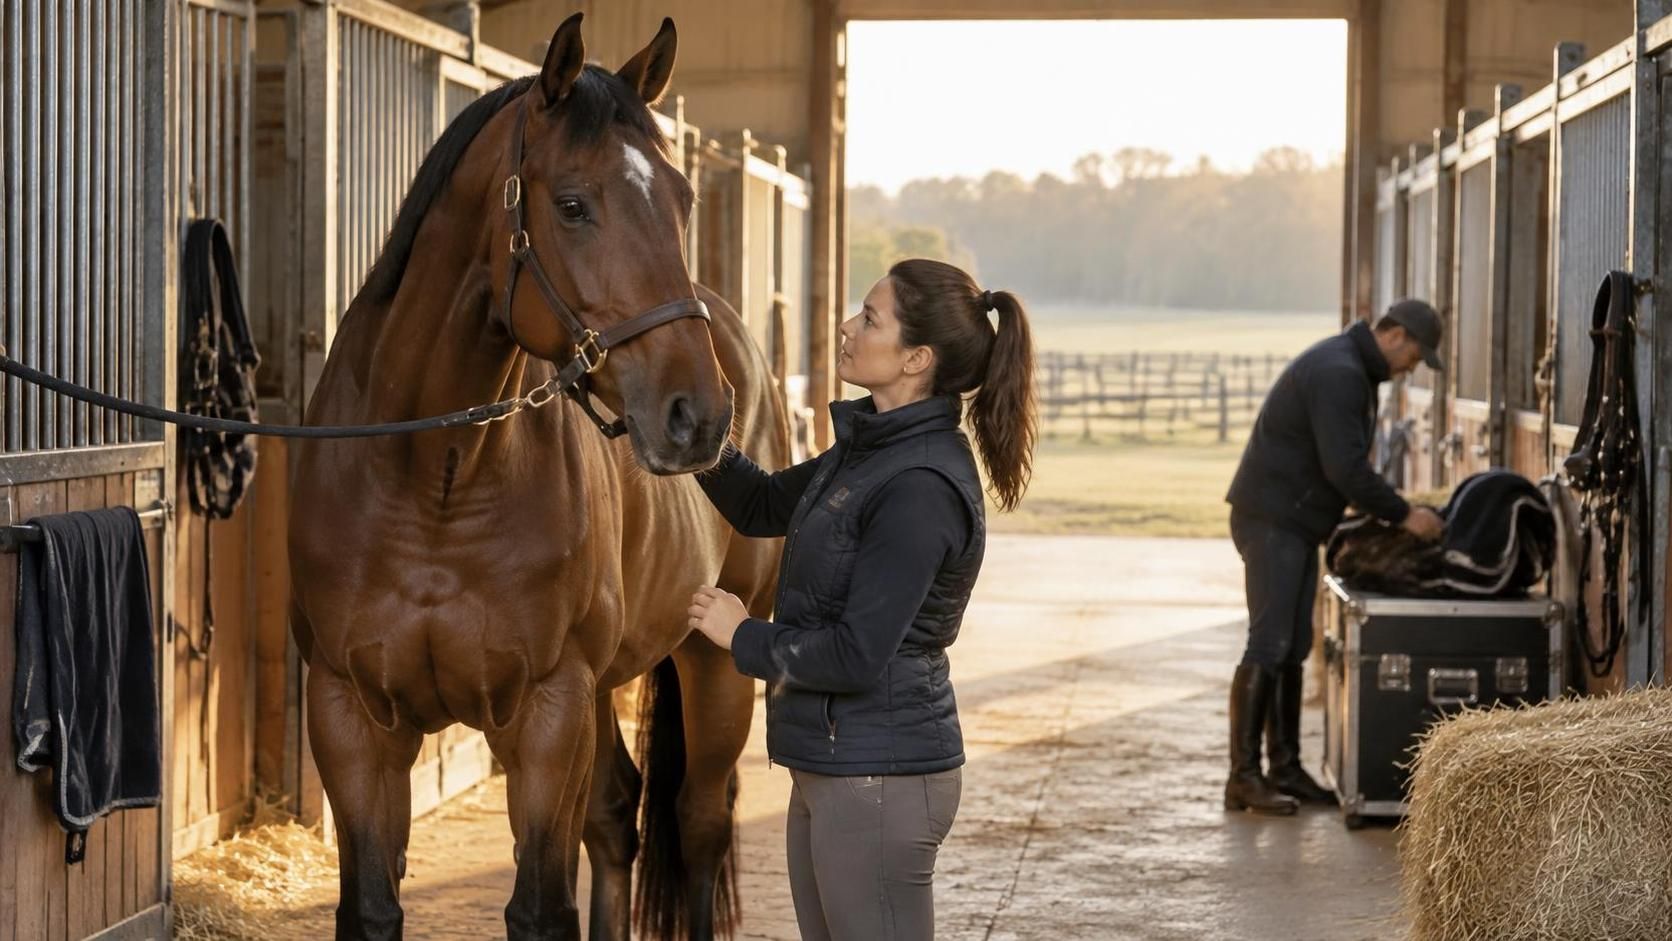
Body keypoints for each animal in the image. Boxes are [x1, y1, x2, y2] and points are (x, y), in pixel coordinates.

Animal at [287, 15, 787, 940]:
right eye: (573, 204)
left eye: (683, 199)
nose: (697, 414)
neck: (435, 481)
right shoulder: (352, 714)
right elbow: (371, 905)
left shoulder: (548, 710)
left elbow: (541, 908)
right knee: (618, 816)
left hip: (716, 658)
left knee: (698, 821)